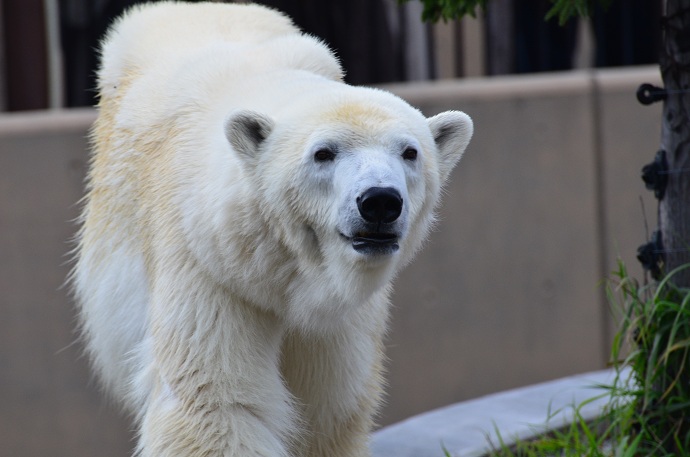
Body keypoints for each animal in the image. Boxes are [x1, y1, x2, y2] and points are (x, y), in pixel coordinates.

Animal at [71, 1, 472, 454]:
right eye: (323, 153)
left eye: (409, 152)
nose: (380, 202)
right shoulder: (210, 263)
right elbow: (215, 402)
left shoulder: (339, 316)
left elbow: (330, 404)